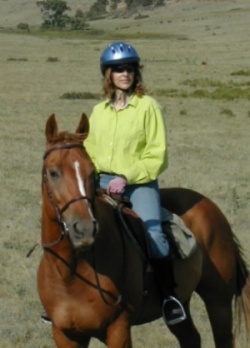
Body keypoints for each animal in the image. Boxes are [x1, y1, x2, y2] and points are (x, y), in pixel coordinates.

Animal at [37, 114, 250, 348]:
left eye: (91, 173)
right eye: (53, 173)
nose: (84, 228)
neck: (71, 273)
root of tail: (211, 207)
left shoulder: (119, 329)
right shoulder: (65, 334)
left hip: (218, 302)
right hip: (183, 303)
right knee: (191, 338)